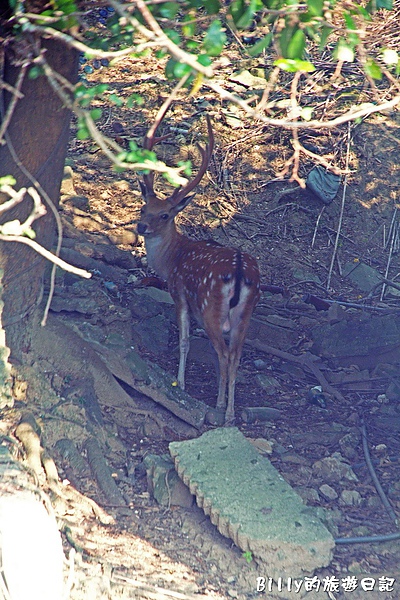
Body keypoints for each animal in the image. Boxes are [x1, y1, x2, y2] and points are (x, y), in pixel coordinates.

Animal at [138, 109, 260, 426]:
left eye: (165, 215)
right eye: (144, 208)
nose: (141, 227)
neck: (171, 259)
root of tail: (240, 271)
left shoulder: (180, 293)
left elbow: (184, 341)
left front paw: (179, 384)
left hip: (210, 308)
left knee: (225, 354)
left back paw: (220, 408)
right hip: (246, 314)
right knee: (236, 354)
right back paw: (229, 411)